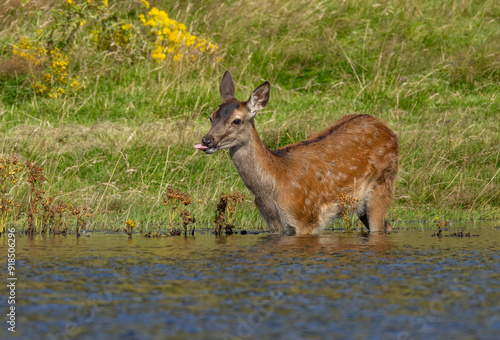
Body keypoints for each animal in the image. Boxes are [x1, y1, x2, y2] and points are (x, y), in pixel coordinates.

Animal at [194, 71, 398, 236]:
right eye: (211, 117)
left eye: (236, 121)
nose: (207, 140)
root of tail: (390, 131)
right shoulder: (274, 224)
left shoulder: (305, 218)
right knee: (388, 226)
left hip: (382, 183)